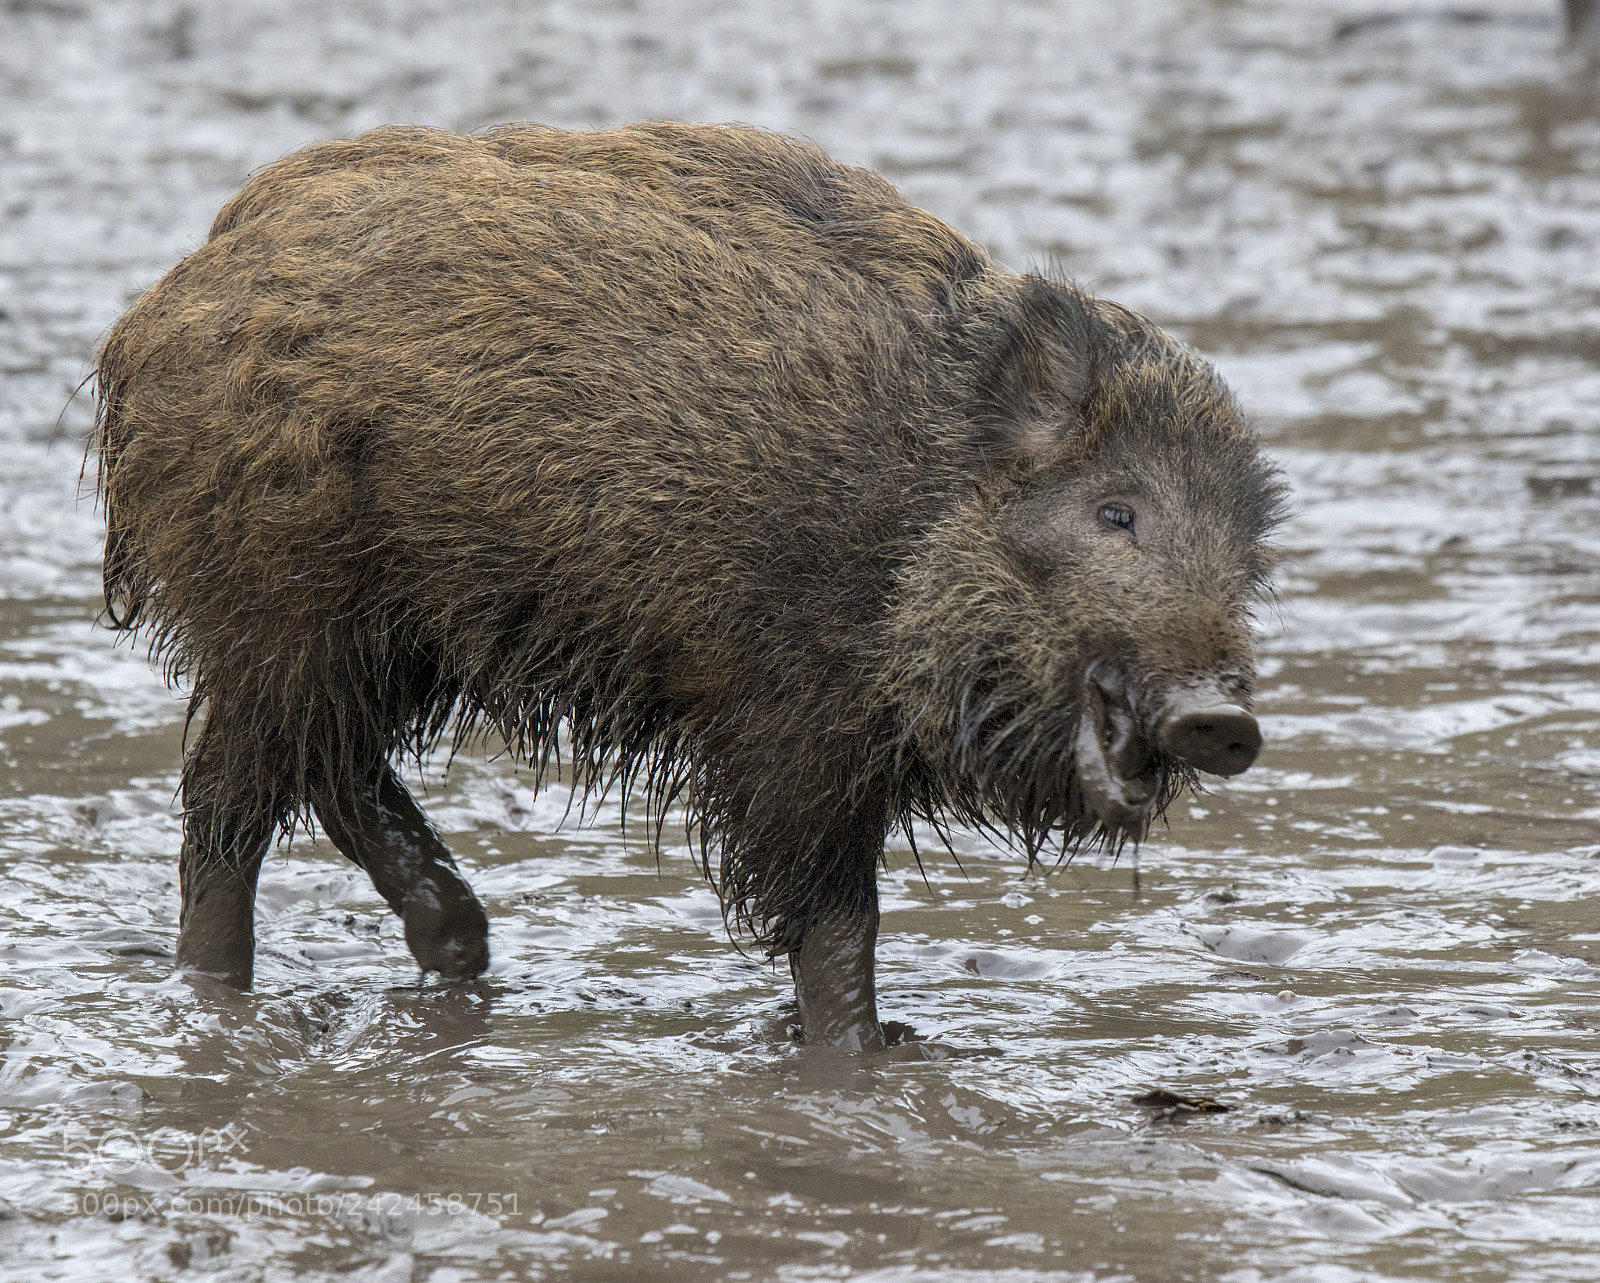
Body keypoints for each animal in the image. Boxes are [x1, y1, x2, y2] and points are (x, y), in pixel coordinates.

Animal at [92, 121, 1285, 1051]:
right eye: (1115, 512)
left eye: (1246, 552)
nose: (1224, 719)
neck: (900, 511)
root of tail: (162, 305)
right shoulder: (786, 722)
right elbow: (834, 916)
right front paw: (862, 1052)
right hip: (280, 599)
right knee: (229, 799)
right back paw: (222, 987)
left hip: (377, 630)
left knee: (324, 762)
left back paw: (460, 950)